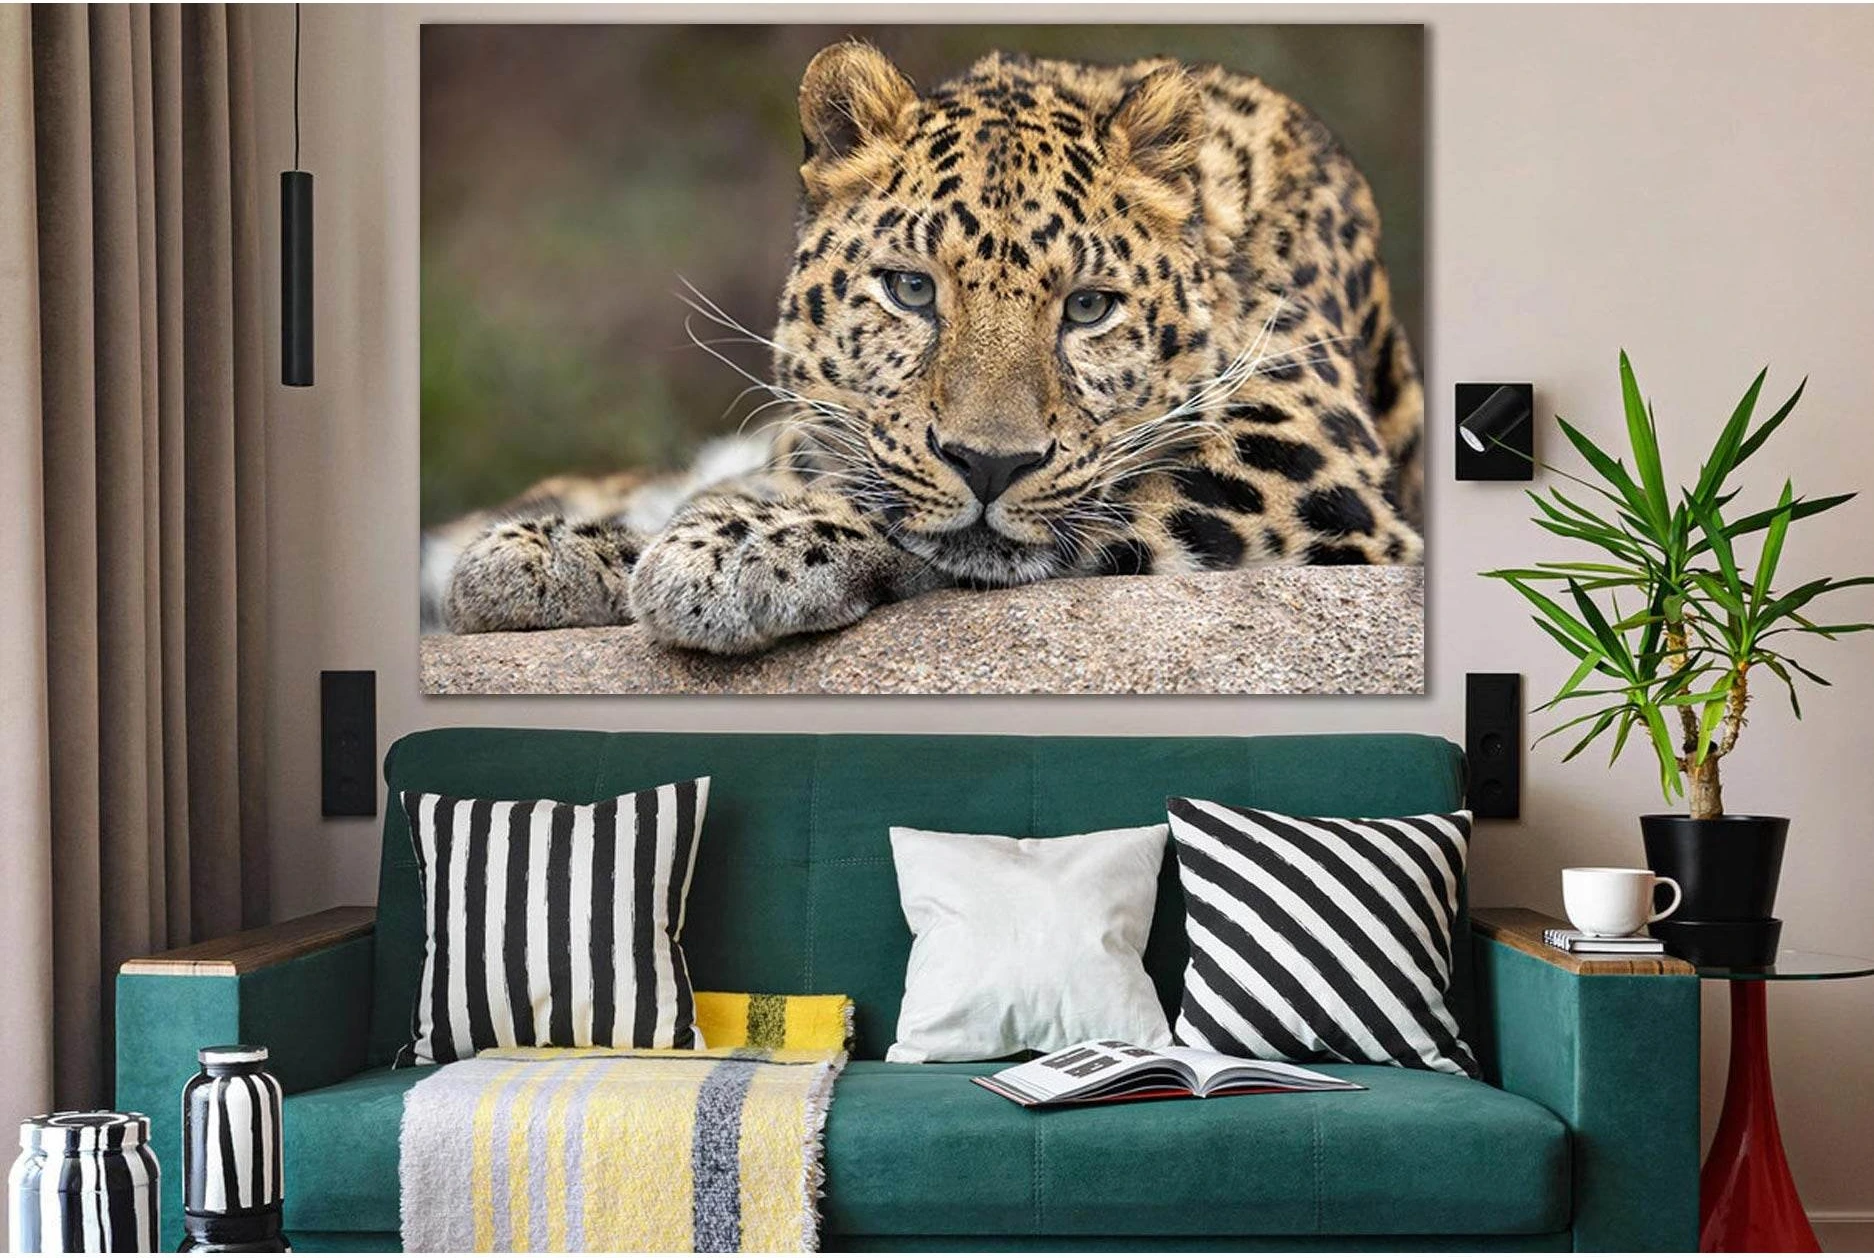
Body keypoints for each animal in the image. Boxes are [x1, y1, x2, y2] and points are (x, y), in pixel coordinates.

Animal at [430, 41, 1426, 654]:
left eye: (1089, 307)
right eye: (912, 291)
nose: (990, 464)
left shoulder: (1307, 460)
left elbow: (1058, 508)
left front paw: (732, 552)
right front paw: (561, 552)